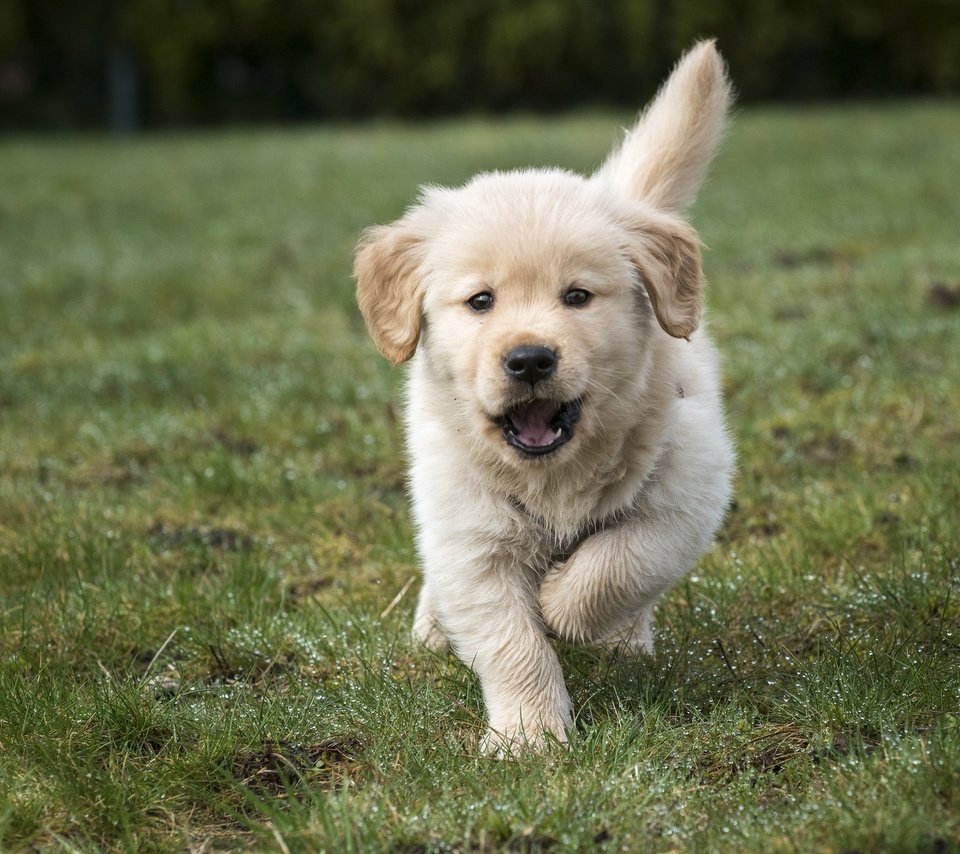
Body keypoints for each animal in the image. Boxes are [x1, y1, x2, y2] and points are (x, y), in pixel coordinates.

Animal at [352, 40, 736, 756]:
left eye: (577, 296)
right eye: (481, 301)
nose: (529, 358)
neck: (553, 475)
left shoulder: (687, 489)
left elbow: (620, 562)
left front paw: (563, 607)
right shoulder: (471, 537)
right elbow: (511, 641)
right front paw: (529, 737)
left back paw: (622, 639)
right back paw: (434, 626)